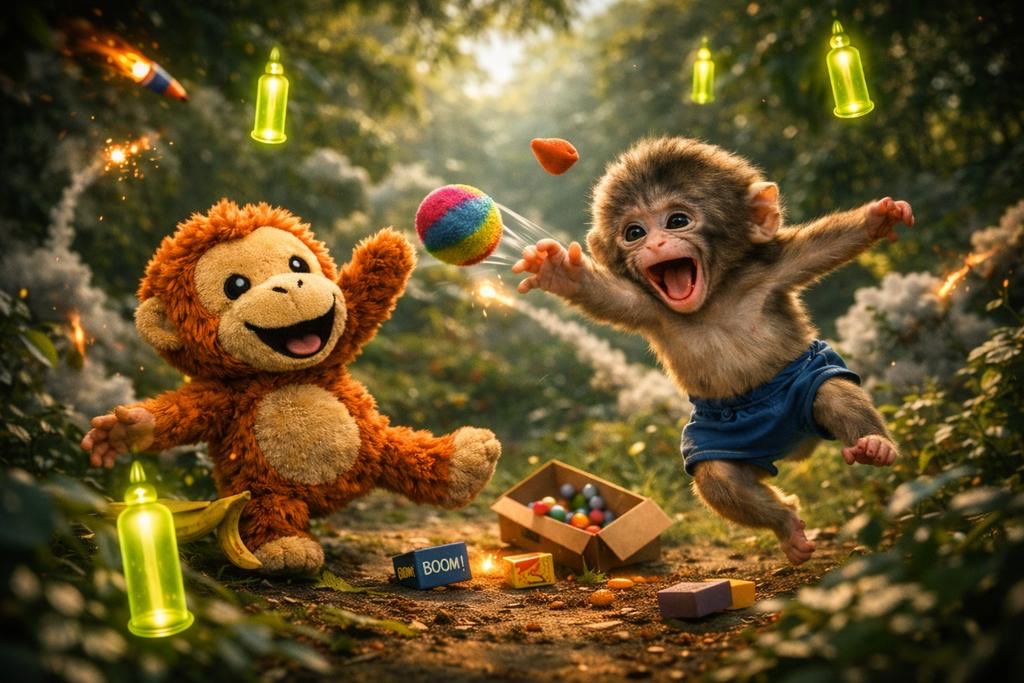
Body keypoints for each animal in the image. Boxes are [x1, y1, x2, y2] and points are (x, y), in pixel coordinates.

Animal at [512, 137, 913, 564]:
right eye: (634, 232)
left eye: (676, 221)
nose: (655, 243)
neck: (713, 295)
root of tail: (796, 450)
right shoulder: (647, 305)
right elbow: (608, 296)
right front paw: (558, 271)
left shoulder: (771, 270)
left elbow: (820, 249)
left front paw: (880, 216)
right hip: (727, 439)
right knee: (718, 476)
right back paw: (787, 525)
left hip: (804, 375)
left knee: (831, 391)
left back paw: (874, 445)